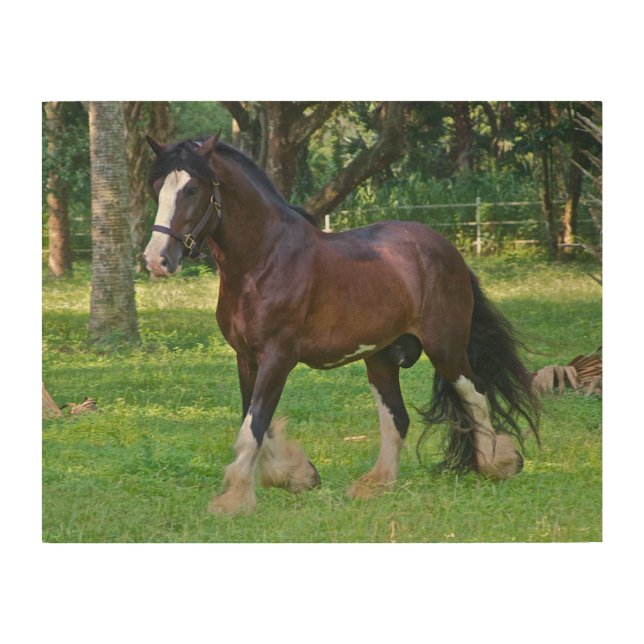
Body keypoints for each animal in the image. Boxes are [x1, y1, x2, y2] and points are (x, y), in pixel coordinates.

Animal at [143, 131, 539, 515]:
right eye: (157, 186)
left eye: (192, 189)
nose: (156, 260)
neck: (264, 261)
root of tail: (446, 249)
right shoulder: (247, 358)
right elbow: (255, 421)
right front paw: (297, 475)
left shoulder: (277, 358)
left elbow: (253, 425)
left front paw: (234, 499)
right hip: (381, 358)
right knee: (397, 419)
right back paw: (374, 485)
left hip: (446, 348)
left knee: (475, 395)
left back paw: (498, 463)